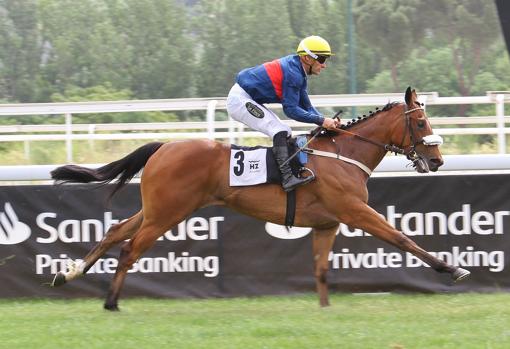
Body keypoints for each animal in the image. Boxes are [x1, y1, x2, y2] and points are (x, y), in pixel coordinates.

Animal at [49, 87, 468, 310]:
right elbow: (402, 238)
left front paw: (325, 309)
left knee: (115, 231)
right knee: (130, 247)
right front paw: (452, 269)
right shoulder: (356, 212)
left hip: (157, 209)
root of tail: (163, 146)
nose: (437, 160)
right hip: (167, 213)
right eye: (421, 122)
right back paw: (110, 302)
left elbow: (321, 269)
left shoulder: (327, 223)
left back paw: (67, 273)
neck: (345, 154)